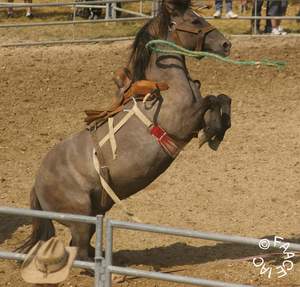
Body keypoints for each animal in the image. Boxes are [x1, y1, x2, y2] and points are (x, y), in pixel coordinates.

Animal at [21, 0, 232, 260]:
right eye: (194, 20)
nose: (226, 44)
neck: (167, 86)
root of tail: (37, 183)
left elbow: (222, 99)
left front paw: (217, 130)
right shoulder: (184, 121)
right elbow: (211, 100)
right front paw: (213, 131)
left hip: (94, 213)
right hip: (80, 218)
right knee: (79, 251)